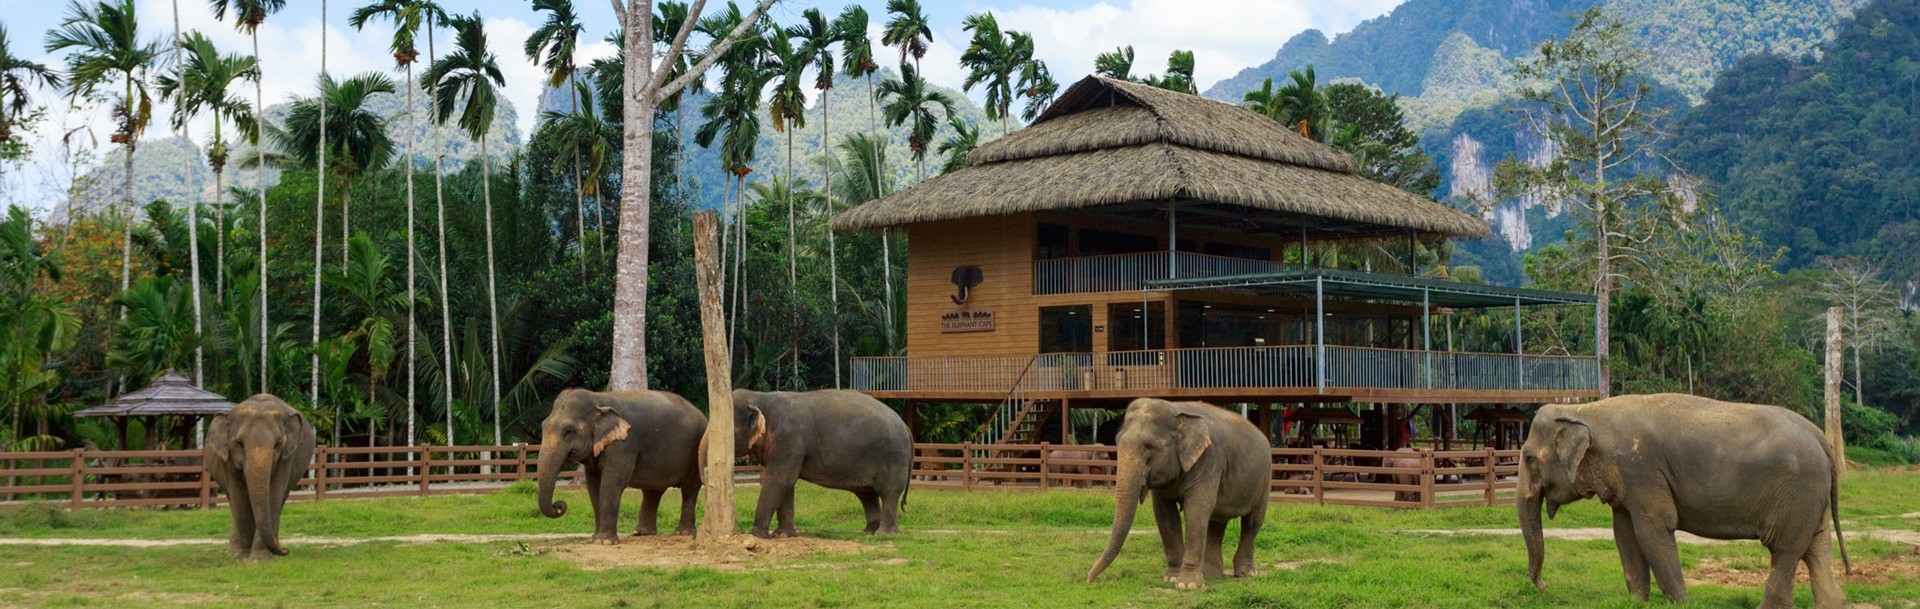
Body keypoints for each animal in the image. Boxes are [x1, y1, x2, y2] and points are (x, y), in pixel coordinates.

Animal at [205, 394, 315, 560]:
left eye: (278, 444)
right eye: (239, 443)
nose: (285, 550)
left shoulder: (286, 459)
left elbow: (274, 496)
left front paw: (259, 559)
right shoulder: (228, 461)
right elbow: (239, 499)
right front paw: (243, 557)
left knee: (280, 501)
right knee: (233, 502)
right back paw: (233, 553)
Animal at [535, 389, 706, 545]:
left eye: (569, 431)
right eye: (543, 426)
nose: (559, 505)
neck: (599, 399)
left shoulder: (624, 444)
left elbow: (612, 483)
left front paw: (604, 541)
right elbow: (593, 486)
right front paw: (594, 538)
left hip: (695, 453)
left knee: (689, 489)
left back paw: (682, 532)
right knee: (653, 491)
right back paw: (642, 533)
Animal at [730, 389, 913, 538]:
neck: (760, 397)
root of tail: (906, 428)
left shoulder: (789, 439)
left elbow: (780, 480)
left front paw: (755, 535)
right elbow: (787, 485)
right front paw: (783, 535)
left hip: (893, 457)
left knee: (889, 493)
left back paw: (884, 534)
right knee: (867, 494)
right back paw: (869, 531)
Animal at [1087, 398, 1271, 589]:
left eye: (1149, 447)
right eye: (1117, 441)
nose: (1089, 580)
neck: (1176, 409)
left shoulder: (1209, 461)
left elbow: (1196, 510)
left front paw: (1188, 585)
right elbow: (1165, 515)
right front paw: (1172, 578)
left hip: (1264, 480)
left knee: (1252, 522)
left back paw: (1246, 574)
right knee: (1216, 522)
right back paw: (1210, 573)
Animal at [1519, 394, 1850, 609]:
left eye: (1529, 458)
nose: (1545, 587)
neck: (1584, 410)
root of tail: (1821, 438)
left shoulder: (1640, 469)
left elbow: (1653, 529)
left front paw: (1681, 602)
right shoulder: (1627, 484)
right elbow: (1624, 535)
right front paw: (1637, 602)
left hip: (1797, 493)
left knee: (1785, 550)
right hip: (1809, 498)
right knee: (1816, 548)